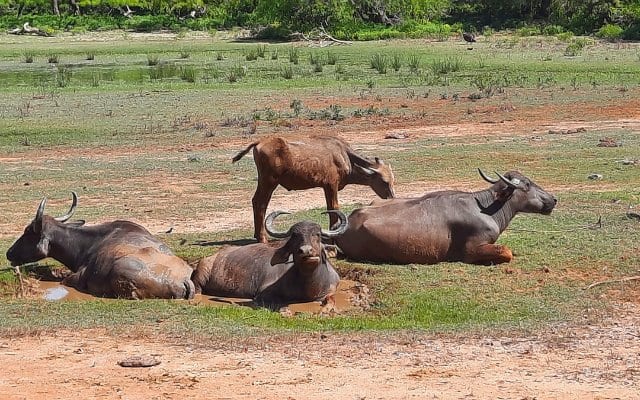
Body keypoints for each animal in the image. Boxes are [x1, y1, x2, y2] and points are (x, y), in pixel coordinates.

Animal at [191, 210, 348, 309]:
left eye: (317, 235)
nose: (306, 251)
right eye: (295, 236)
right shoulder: (263, 294)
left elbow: (331, 300)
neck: (309, 286)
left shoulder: (331, 290)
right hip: (200, 276)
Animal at [231, 135, 395, 243]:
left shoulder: (326, 188)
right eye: (384, 181)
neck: (343, 155)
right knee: (260, 203)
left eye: (393, 180)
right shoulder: (331, 185)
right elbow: (334, 208)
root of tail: (259, 142)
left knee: (256, 202)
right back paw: (262, 237)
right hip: (269, 183)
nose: (391, 198)